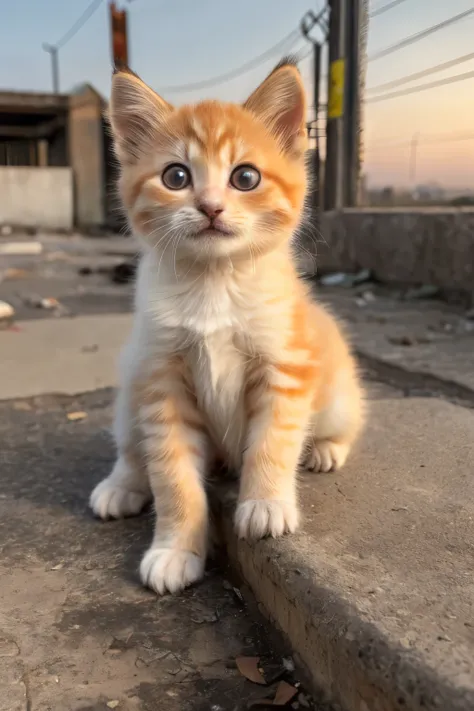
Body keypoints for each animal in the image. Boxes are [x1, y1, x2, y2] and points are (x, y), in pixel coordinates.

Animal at [90, 59, 362, 596]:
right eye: (176, 176)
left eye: (246, 177)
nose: (211, 207)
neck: (214, 284)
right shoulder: (161, 380)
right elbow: (172, 477)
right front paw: (176, 549)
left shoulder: (286, 365)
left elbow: (274, 441)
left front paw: (266, 503)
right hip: (132, 377)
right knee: (132, 448)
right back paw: (120, 484)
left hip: (337, 393)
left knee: (345, 421)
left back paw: (325, 450)